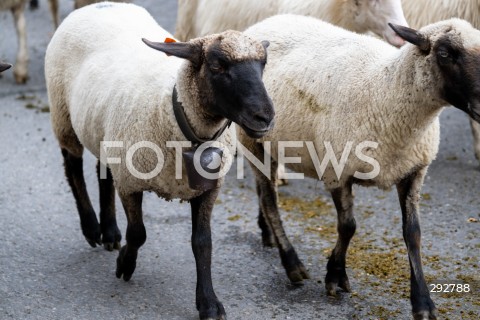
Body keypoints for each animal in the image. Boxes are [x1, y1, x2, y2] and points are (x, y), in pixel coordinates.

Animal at [47, 2, 276, 320]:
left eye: (263, 64)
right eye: (217, 66)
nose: (265, 117)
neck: (173, 110)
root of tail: (99, 5)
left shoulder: (208, 188)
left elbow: (202, 243)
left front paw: (208, 302)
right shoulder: (130, 181)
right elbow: (138, 232)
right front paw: (125, 264)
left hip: (105, 132)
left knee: (102, 170)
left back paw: (109, 232)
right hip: (63, 115)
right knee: (73, 168)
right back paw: (92, 228)